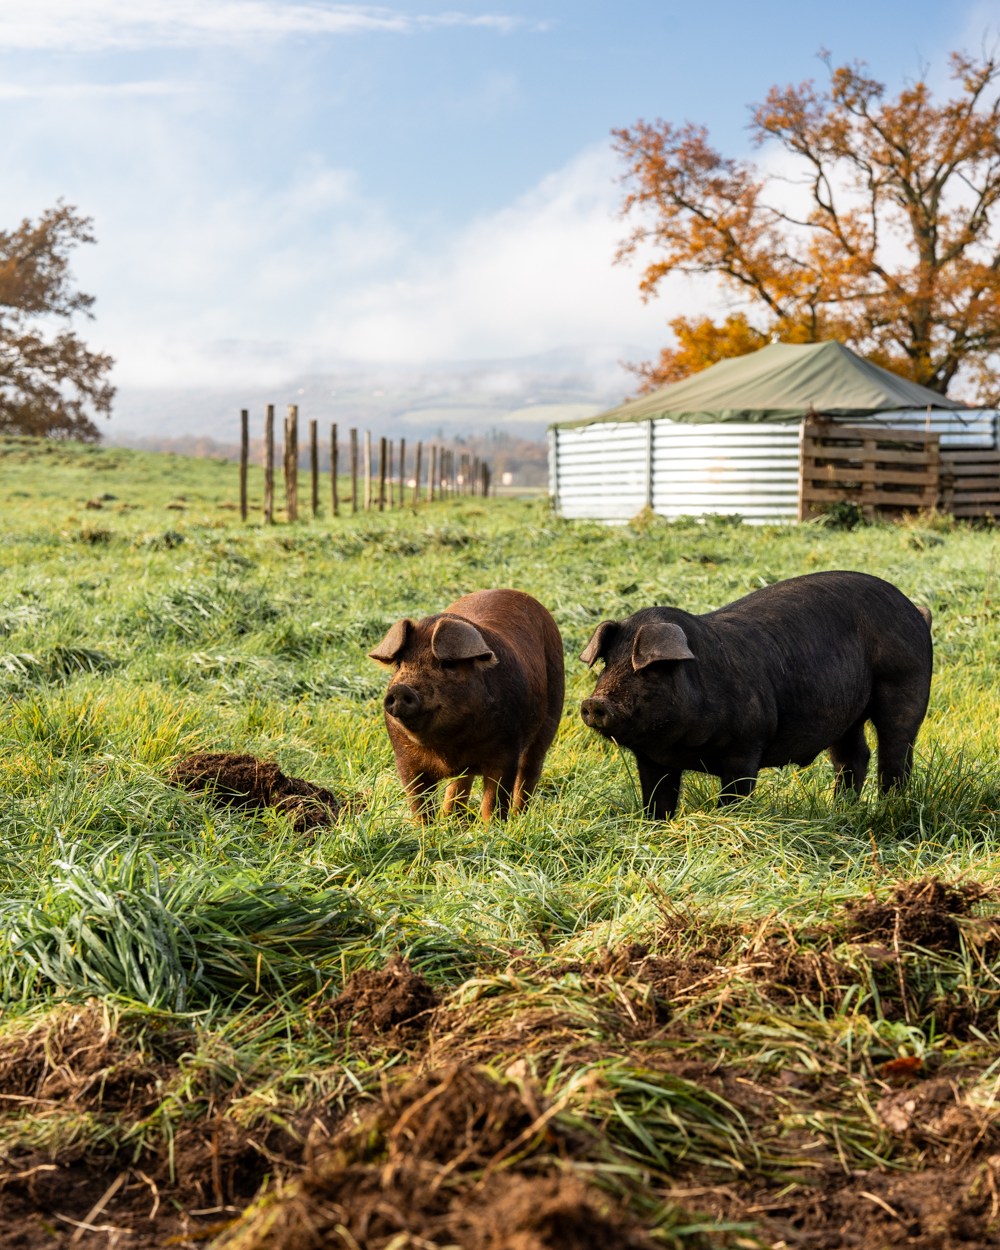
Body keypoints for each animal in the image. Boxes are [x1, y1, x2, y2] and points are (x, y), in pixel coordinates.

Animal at [368, 588, 565, 823]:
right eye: (400, 663)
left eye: (448, 663)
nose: (401, 690)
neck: (449, 746)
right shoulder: (405, 760)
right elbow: (419, 805)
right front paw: (426, 828)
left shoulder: (507, 753)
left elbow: (494, 801)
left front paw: (491, 827)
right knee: (461, 782)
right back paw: (451, 818)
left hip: (552, 712)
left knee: (530, 769)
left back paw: (519, 816)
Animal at [579, 571, 932, 819]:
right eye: (608, 663)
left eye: (650, 669)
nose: (593, 703)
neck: (678, 746)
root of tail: (916, 612)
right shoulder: (652, 759)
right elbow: (656, 802)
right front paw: (656, 826)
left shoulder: (746, 747)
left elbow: (733, 798)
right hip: (845, 716)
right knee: (853, 757)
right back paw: (841, 811)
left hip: (906, 684)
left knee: (896, 751)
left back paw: (888, 808)